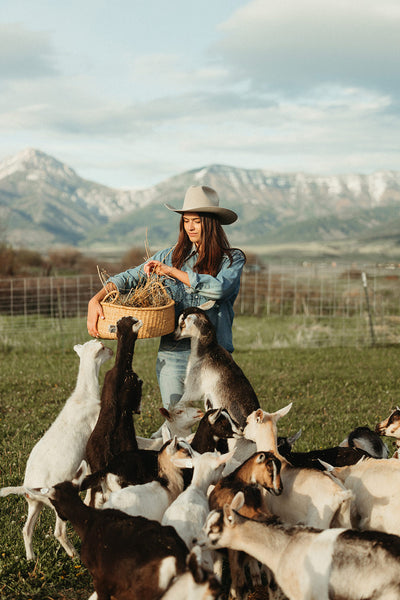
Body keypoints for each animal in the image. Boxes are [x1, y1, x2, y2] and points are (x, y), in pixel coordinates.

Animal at [0, 340, 112, 560]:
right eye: (102, 347)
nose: (112, 350)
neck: (83, 396)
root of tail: (28, 487)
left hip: (35, 504)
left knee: (26, 529)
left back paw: (31, 558)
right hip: (58, 504)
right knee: (58, 531)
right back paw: (74, 555)